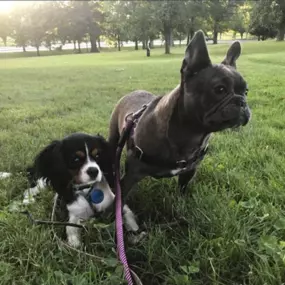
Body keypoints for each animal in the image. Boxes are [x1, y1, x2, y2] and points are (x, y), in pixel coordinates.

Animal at [107, 31, 250, 199]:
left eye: (246, 92)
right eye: (220, 89)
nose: (242, 101)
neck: (189, 133)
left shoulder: (189, 171)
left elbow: (182, 188)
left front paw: (181, 201)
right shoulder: (131, 176)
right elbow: (121, 197)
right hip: (114, 137)